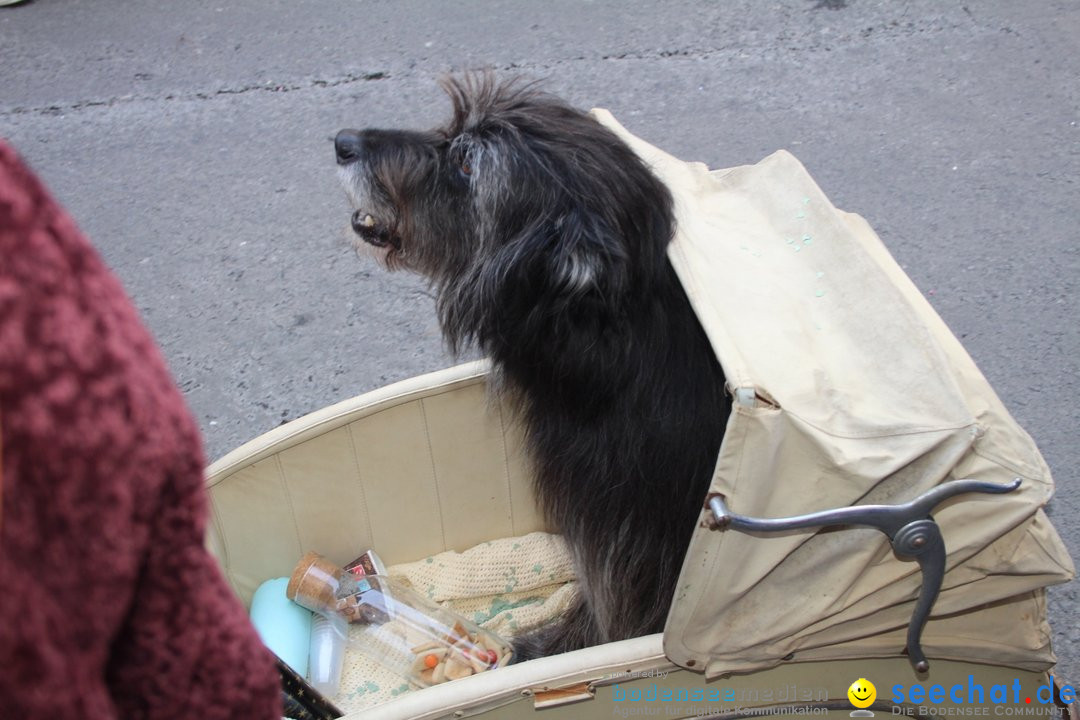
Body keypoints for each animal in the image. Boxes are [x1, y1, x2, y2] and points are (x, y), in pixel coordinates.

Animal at [332, 77, 730, 660]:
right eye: (452, 131)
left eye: (467, 165)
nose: (343, 142)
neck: (610, 349)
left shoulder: (635, 537)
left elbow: (619, 608)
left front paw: (552, 647)